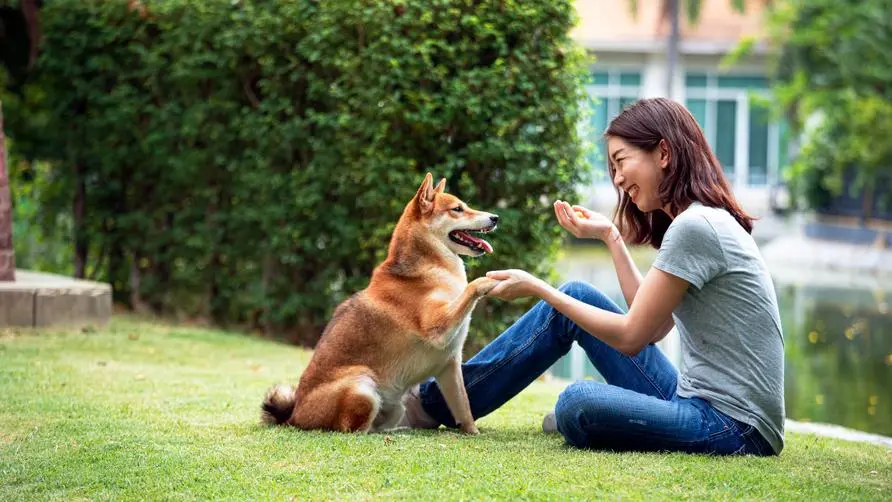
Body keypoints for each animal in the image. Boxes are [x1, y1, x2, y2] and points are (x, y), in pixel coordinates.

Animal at [264, 175, 502, 434]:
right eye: (457, 209)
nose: (495, 217)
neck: (427, 269)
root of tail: (294, 417)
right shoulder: (437, 328)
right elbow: (472, 287)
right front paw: (489, 281)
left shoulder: (449, 365)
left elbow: (464, 408)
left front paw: (472, 432)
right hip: (363, 386)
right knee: (354, 430)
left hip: (395, 406)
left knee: (378, 426)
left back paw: (400, 432)